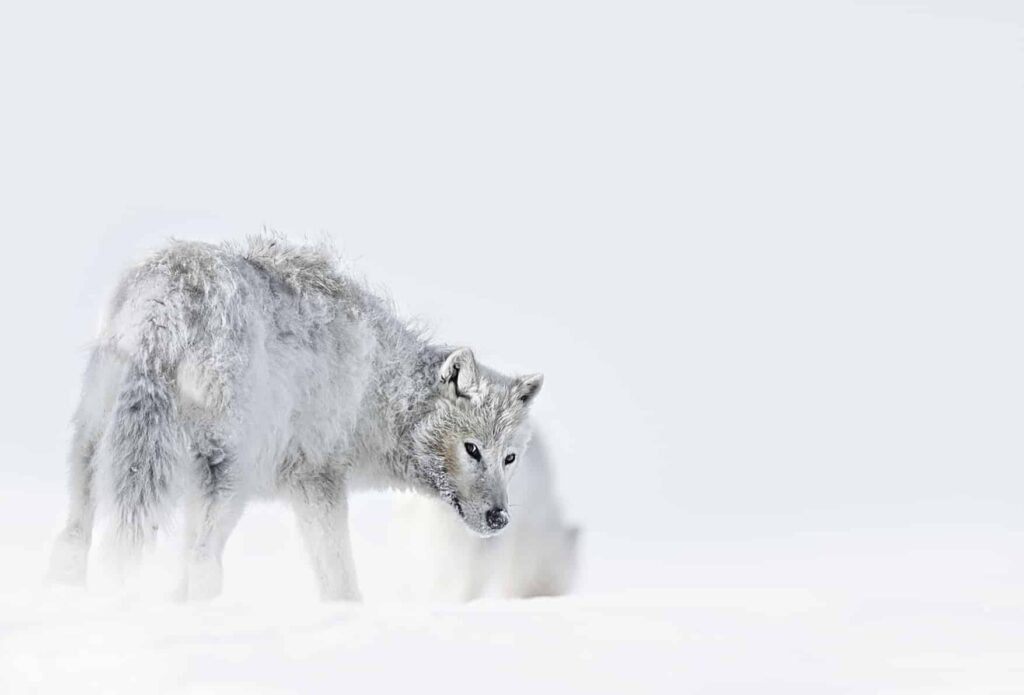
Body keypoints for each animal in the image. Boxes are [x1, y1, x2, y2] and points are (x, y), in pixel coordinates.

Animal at [48, 236, 544, 601]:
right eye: (472, 449)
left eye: (510, 458)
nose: (500, 518)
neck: (377, 388)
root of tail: (168, 300)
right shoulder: (317, 481)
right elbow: (340, 577)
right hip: (229, 480)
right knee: (204, 562)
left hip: (94, 449)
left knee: (74, 540)